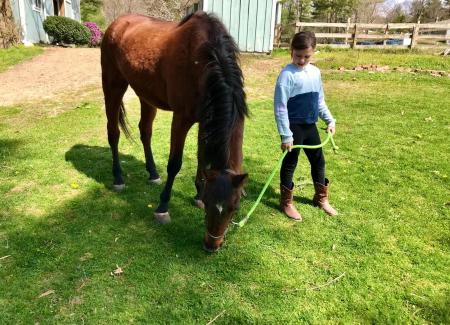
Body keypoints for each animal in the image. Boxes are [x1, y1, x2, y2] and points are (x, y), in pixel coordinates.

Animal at [100, 11, 248, 251]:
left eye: (235, 208)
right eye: (211, 203)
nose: (211, 245)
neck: (204, 59)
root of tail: (117, 23)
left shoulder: (205, 119)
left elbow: (202, 157)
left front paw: (197, 192)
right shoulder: (181, 119)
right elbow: (174, 164)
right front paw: (162, 207)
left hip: (145, 95)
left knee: (145, 132)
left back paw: (152, 173)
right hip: (113, 86)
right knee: (113, 133)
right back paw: (118, 178)